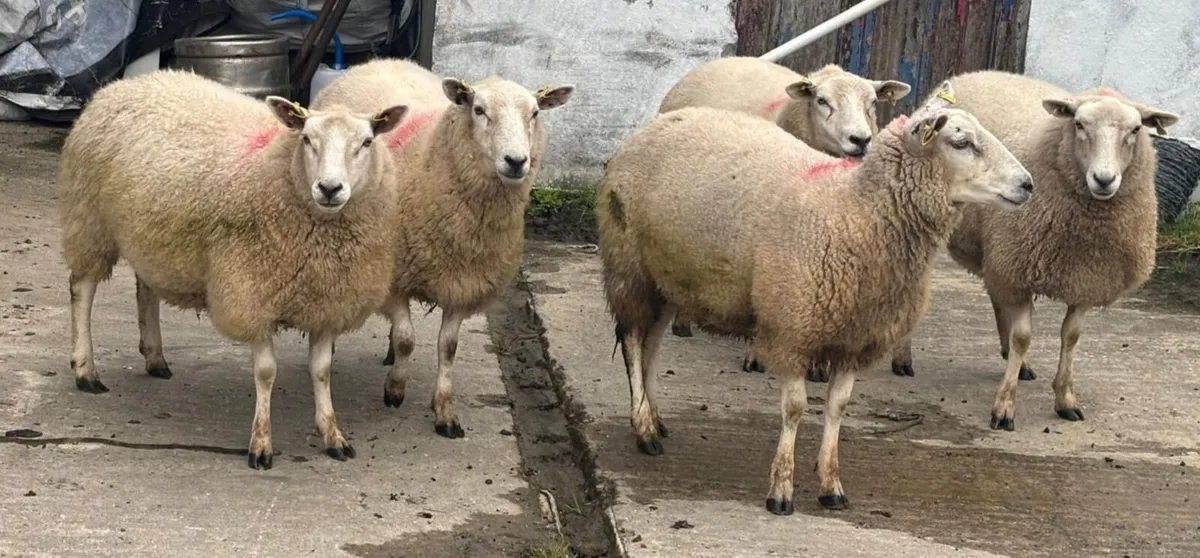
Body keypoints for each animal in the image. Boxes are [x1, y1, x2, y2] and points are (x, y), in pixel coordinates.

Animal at [57, 69, 408, 469]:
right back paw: (86, 370)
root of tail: (123, 84)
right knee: (81, 289)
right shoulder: (250, 291)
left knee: (145, 288)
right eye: (306, 139)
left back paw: (155, 357)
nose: (330, 188)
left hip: (148, 233)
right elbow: (266, 373)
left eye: (366, 142)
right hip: (89, 218)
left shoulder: (326, 301)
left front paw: (333, 435)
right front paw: (261, 444)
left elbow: (321, 372)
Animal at [311, 59, 575, 438]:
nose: (516, 161)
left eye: (535, 113)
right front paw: (395, 390)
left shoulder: (462, 282)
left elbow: (447, 349)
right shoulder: (395, 277)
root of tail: (379, 60)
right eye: (479, 110)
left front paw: (445, 413)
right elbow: (407, 338)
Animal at [884, 71, 1178, 431]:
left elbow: (1071, 336)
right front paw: (1004, 407)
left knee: (997, 296)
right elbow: (1023, 337)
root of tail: (968, 75)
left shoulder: (1084, 277)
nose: (1104, 179)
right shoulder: (1020, 267)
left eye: (1136, 130)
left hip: (999, 250)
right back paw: (903, 357)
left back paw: (1013, 359)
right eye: (1079, 124)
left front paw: (1065, 398)